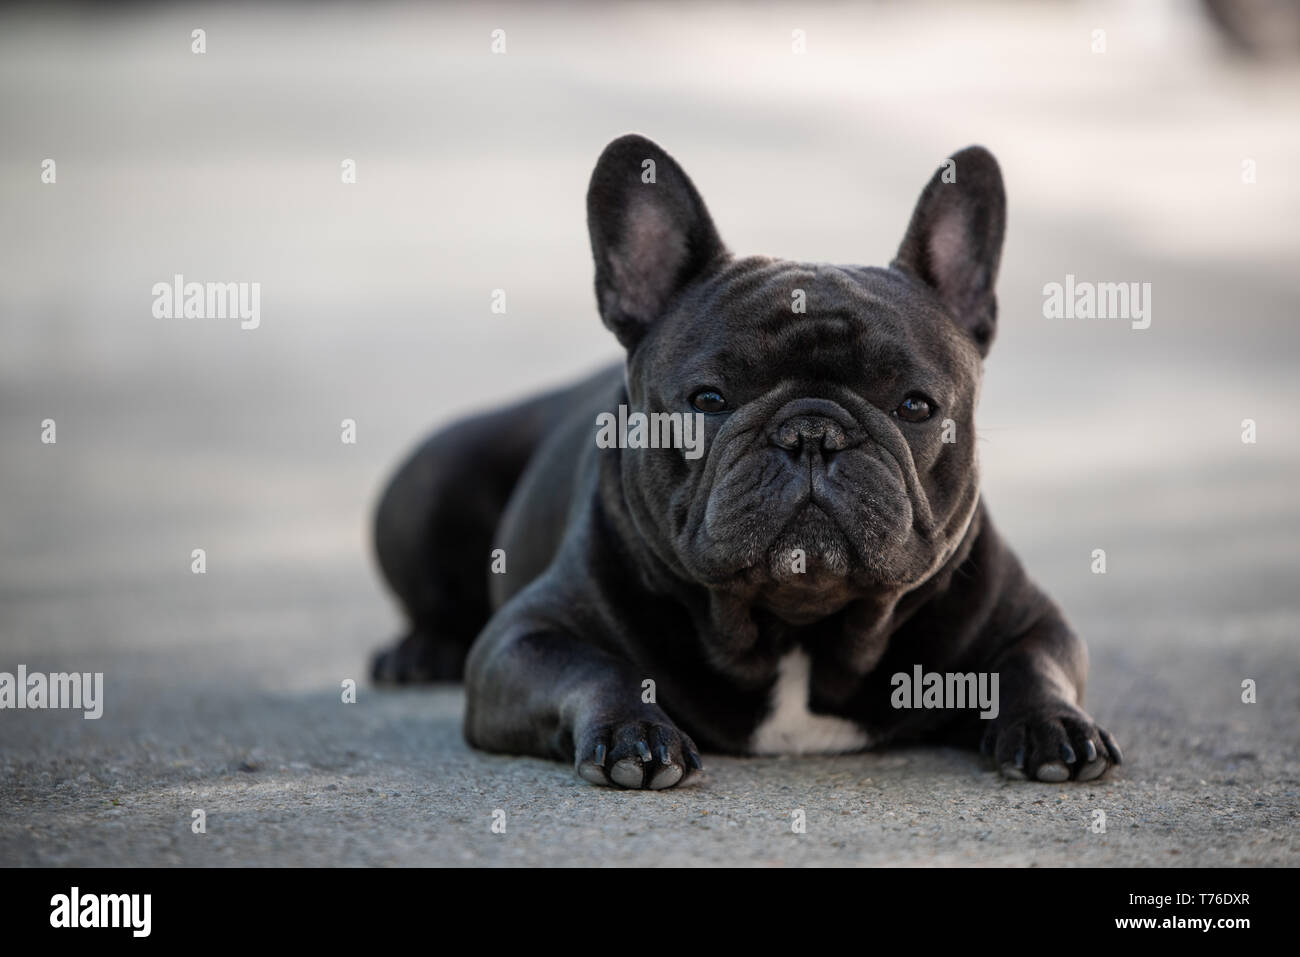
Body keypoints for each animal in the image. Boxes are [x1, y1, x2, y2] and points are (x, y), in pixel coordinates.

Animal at [371, 136, 1123, 790]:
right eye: (708, 399)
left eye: (915, 406)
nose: (813, 431)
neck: (796, 630)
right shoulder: (523, 640)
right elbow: (596, 669)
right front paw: (634, 731)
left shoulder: (1031, 618)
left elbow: (1034, 662)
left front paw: (1055, 724)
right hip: (429, 482)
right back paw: (418, 652)